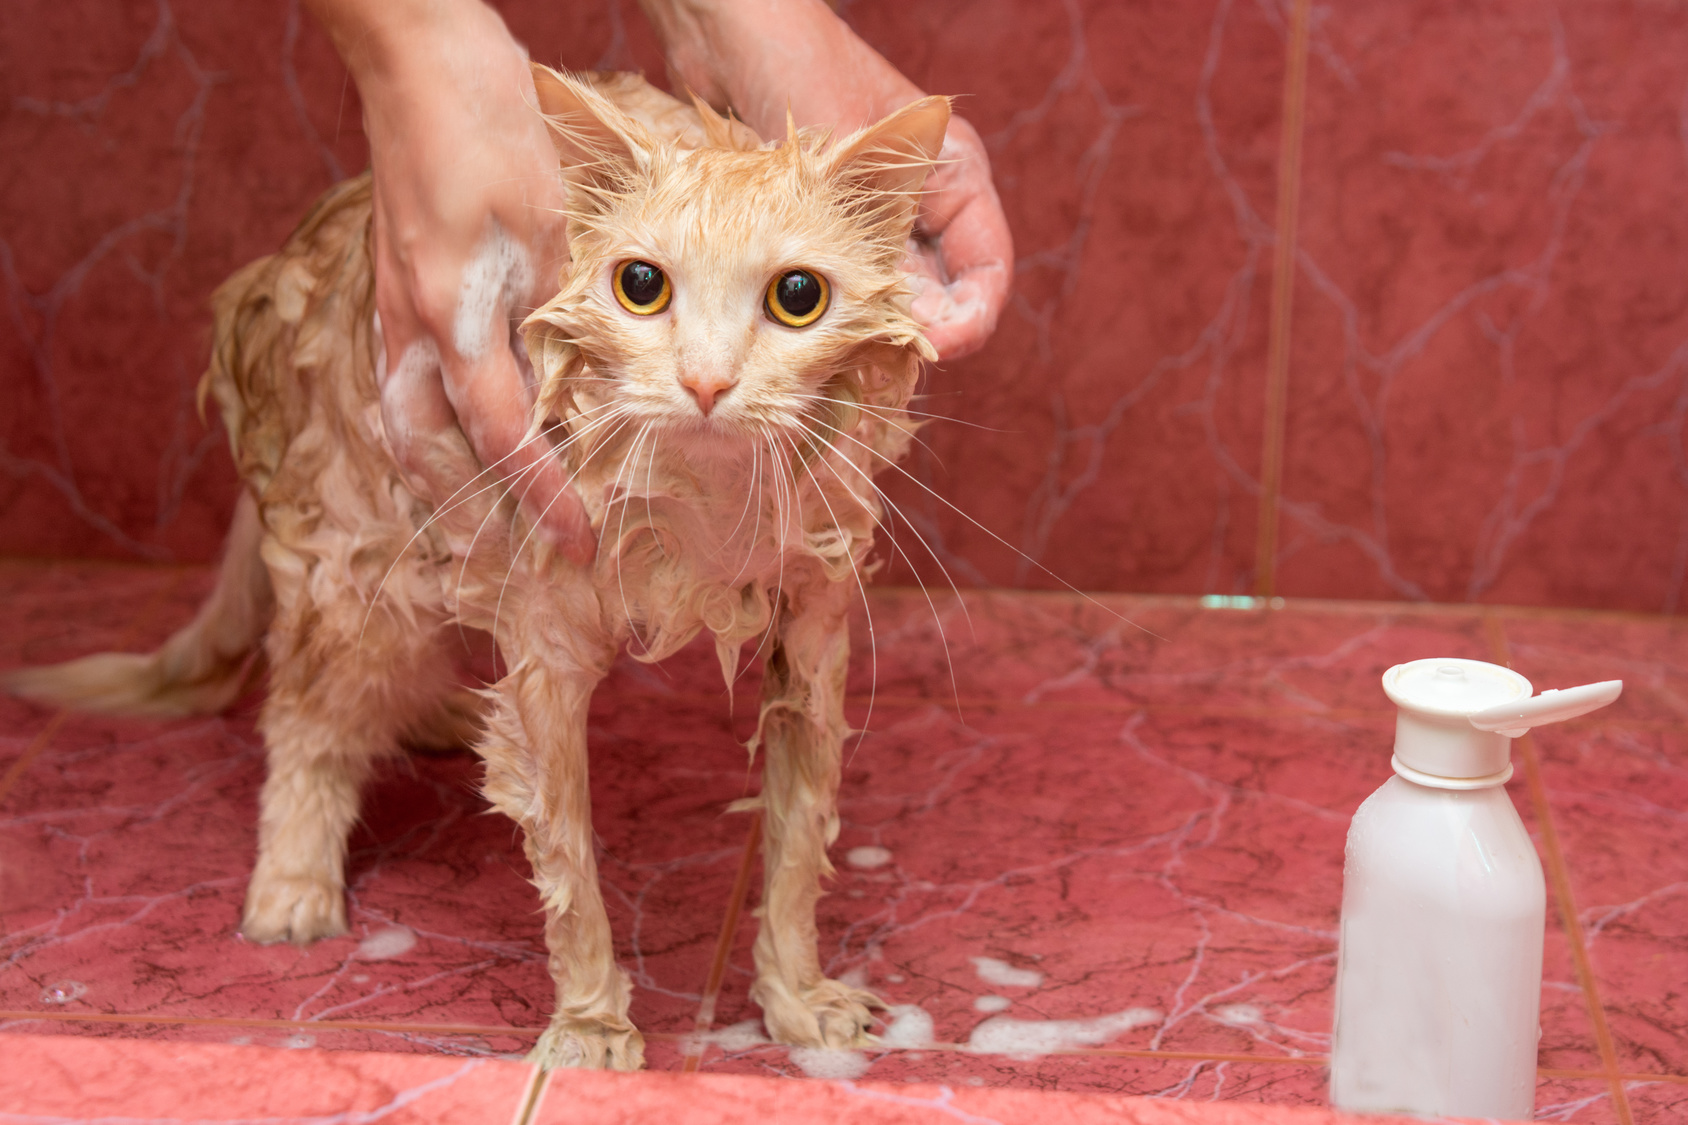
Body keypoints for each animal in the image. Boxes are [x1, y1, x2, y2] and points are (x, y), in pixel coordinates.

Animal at [3, 65, 952, 1067]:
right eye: (641, 286)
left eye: (798, 295)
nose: (704, 382)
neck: (707, 510)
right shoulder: (550, 653)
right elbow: (570, 864)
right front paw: (590, 1023)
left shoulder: (812, 632)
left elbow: (799, 841)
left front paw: (795, 995)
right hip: (358, 554)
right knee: (306, 718)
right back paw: (293, 884)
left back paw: (436, 719)